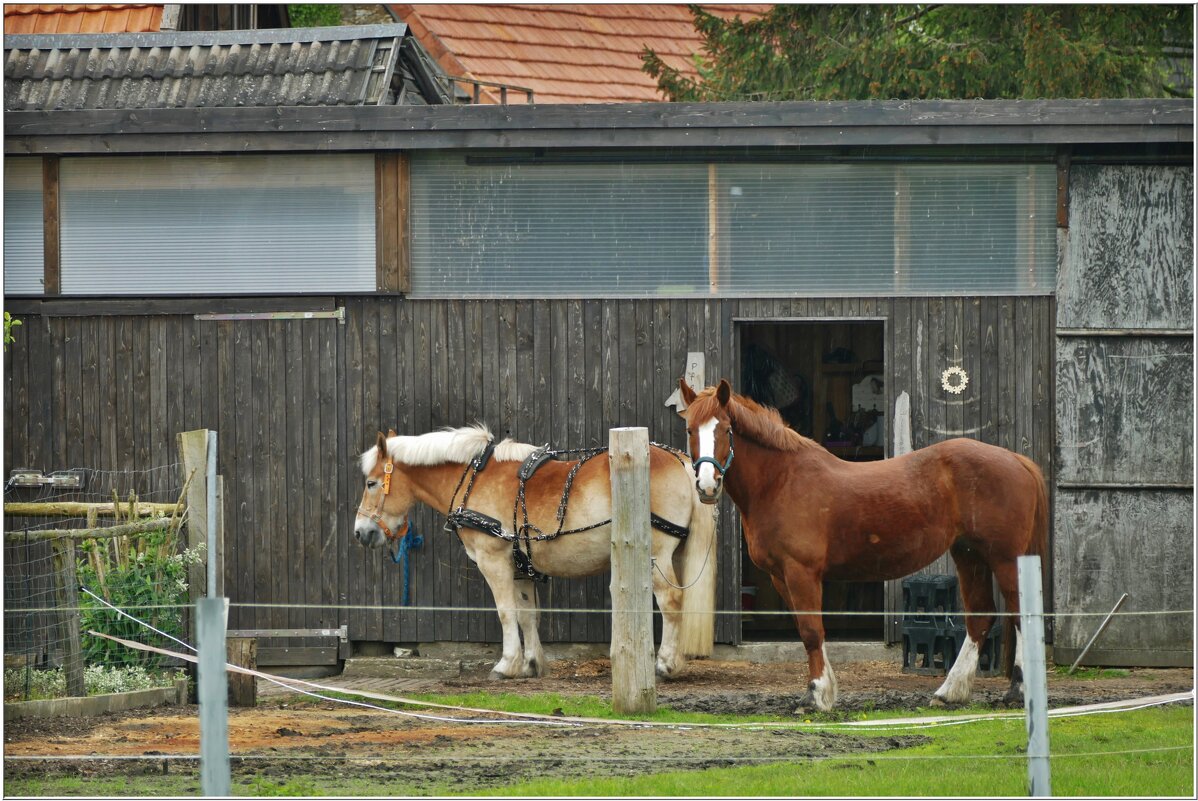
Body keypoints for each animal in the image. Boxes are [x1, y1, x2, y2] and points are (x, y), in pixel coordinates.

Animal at [349, 423, 714, 680]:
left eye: (370, 483)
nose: (361, 532)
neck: (474, 479)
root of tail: (682, 461)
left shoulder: (493, 560)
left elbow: (506, 612)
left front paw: (506, 664)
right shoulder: (519, 567)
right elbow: (527, 614)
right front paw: (531, 664)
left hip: (658, 555)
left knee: (671, 602)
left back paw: (666, 664)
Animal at [680, 378, 1044, 708]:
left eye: (726, 429)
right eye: (690, 430)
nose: (707, 485)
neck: (781, 481)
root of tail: (1017, 461)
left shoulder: (802, 573)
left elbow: (811, 631)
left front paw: (815, 696)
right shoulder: (780, 577)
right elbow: (807, 630)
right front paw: (826, 691)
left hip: (1004, 559)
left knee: (1021, 615)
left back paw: (1017, 691)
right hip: (969, 554)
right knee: (981, 617)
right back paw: (949, 692)